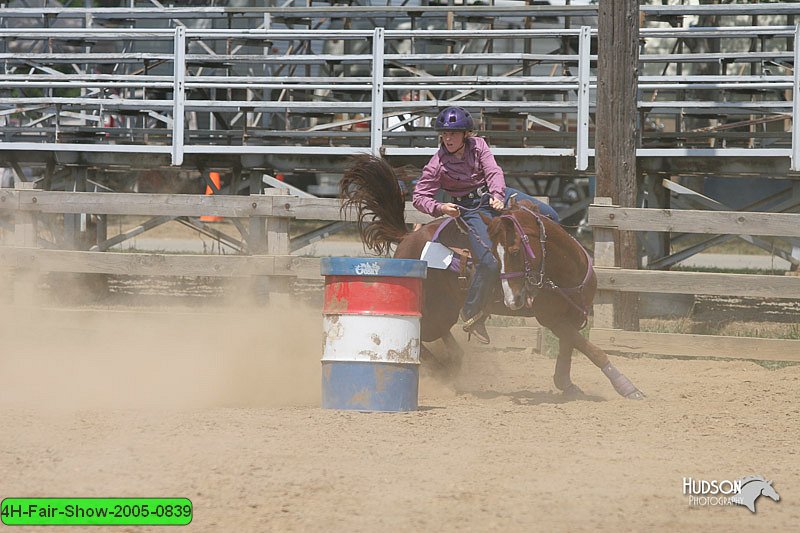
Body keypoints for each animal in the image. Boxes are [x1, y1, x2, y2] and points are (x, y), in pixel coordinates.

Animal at [338, 154, 644, 400]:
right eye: (495, 254)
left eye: (516, 250)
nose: (513, 299)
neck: (564, 271)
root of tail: (407, 238)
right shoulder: (551, 318)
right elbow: (591, 349)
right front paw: (628, 387)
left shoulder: (573, 313)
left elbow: (569, 349)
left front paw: (566, 384)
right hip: (435, 311)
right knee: (421, 337)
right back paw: (446, 370)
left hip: (445, 310)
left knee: (442, 334)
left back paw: (463, 349)